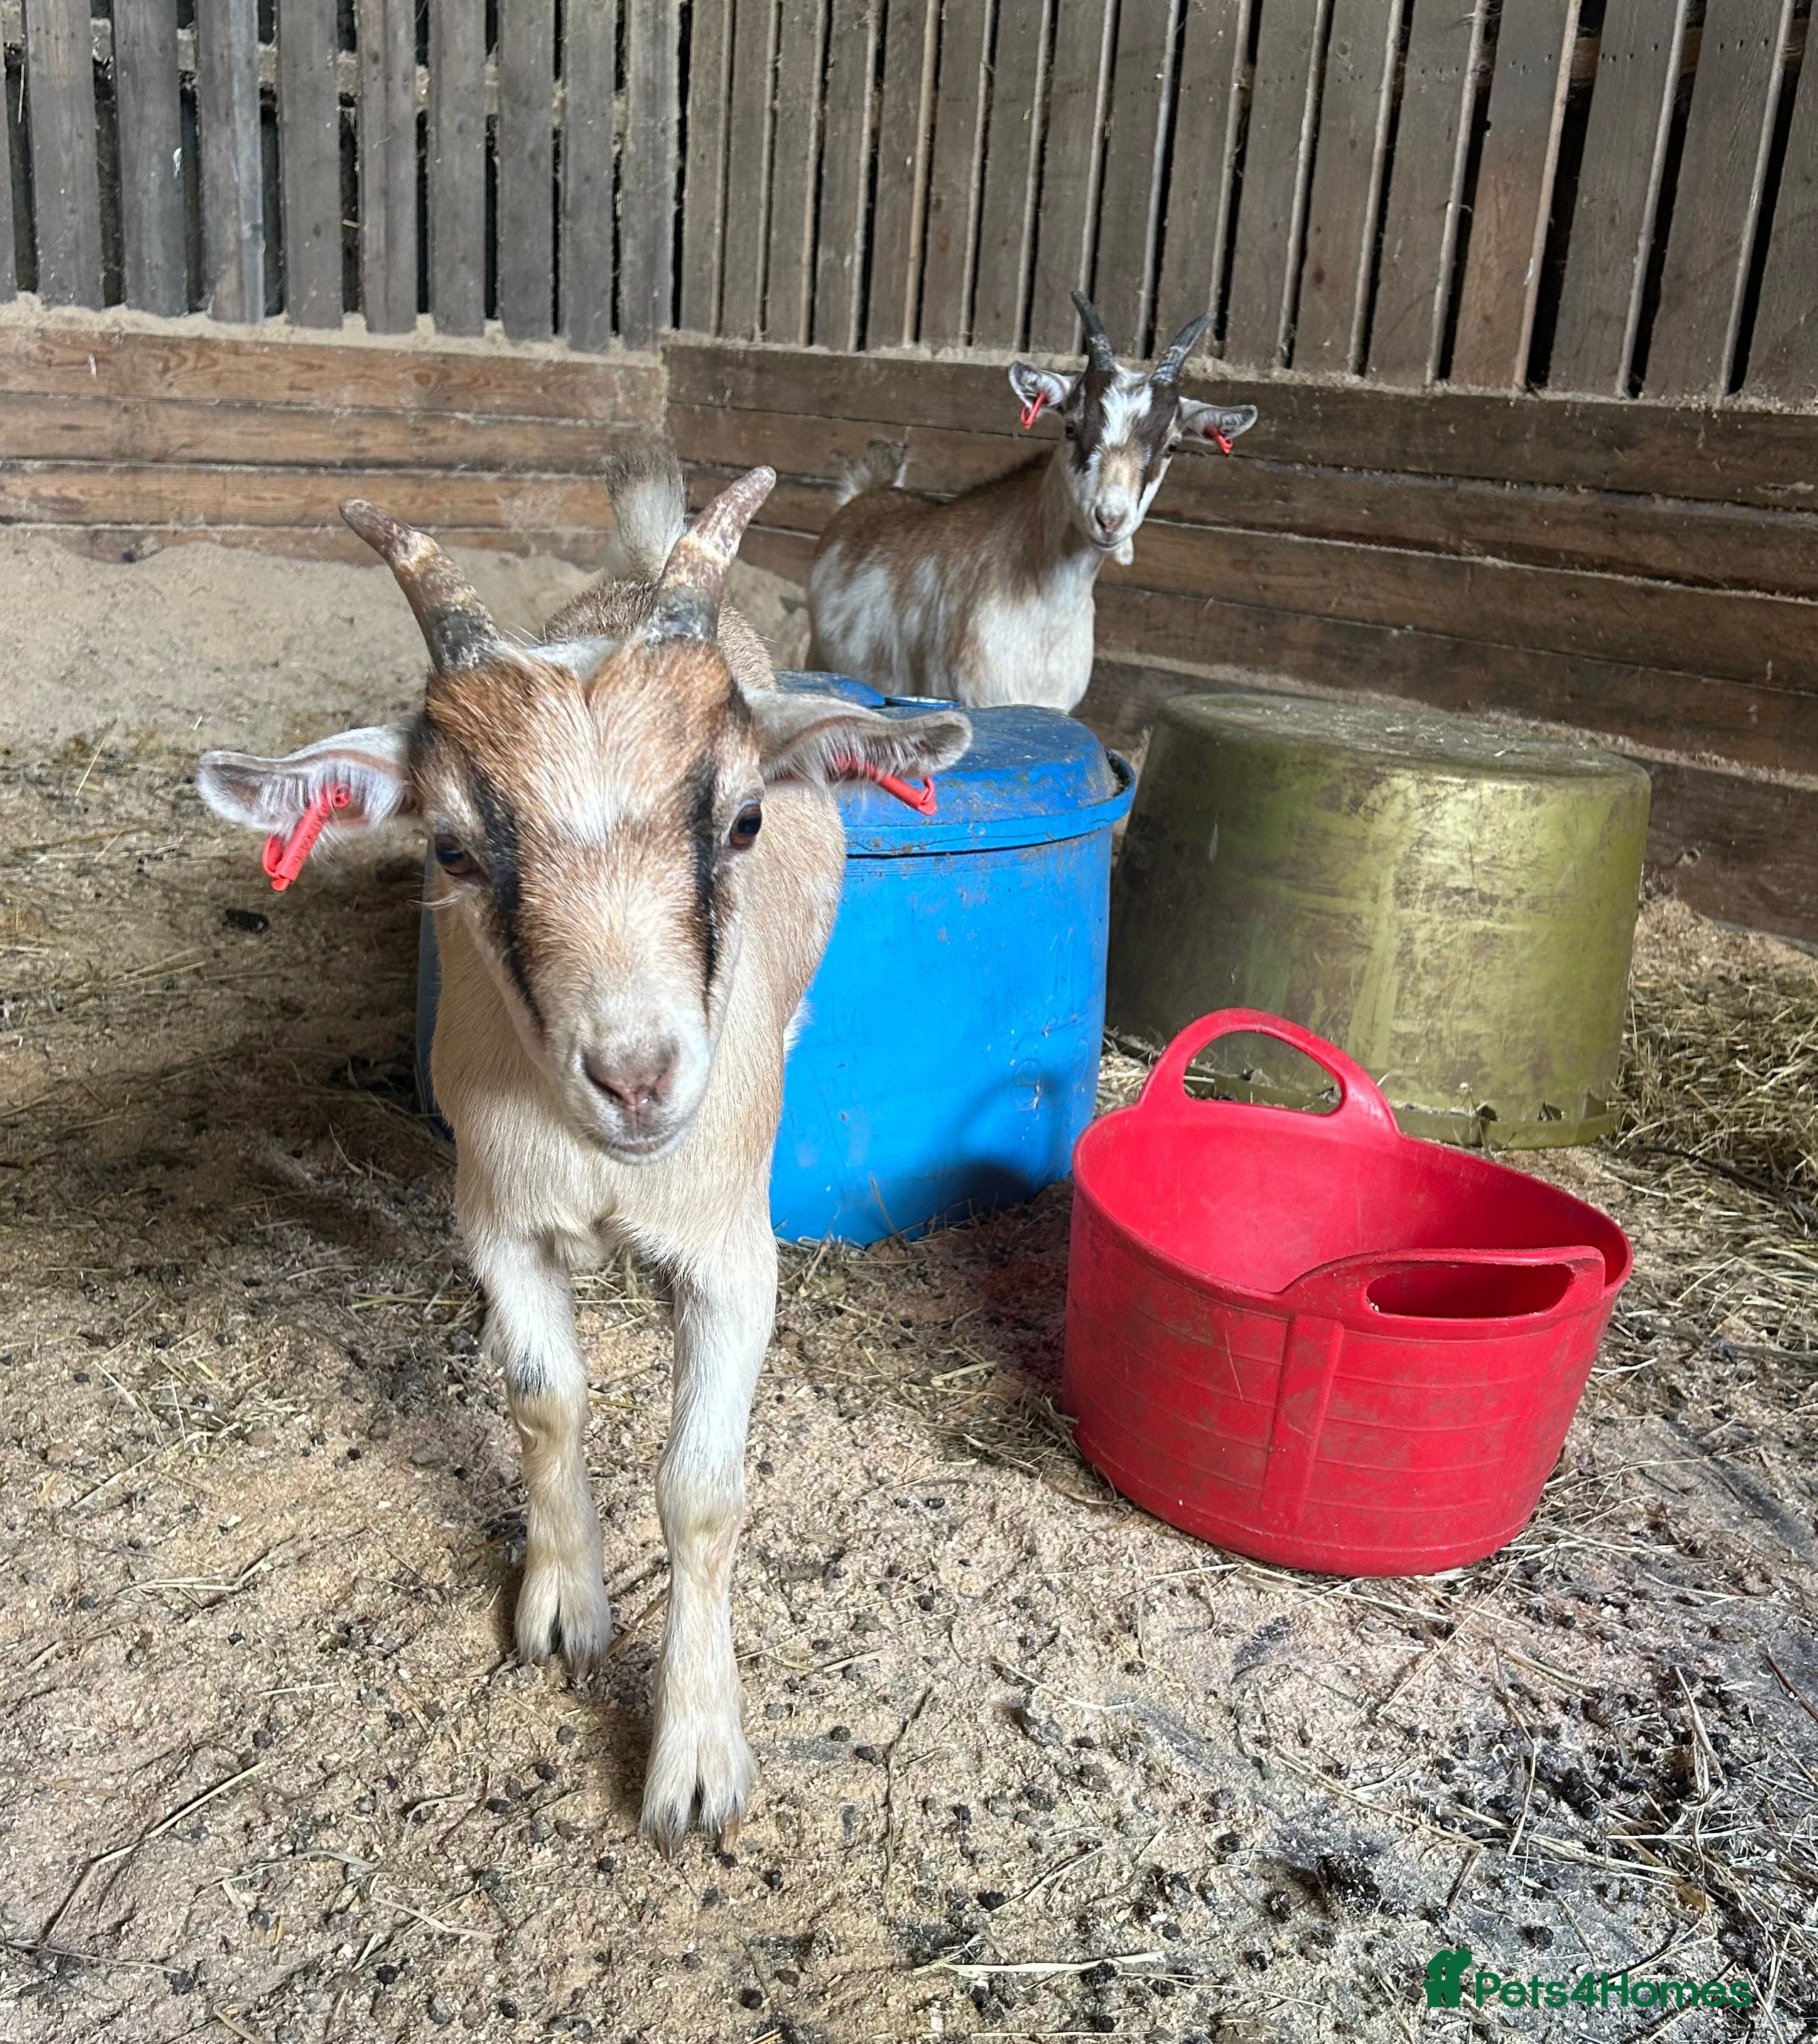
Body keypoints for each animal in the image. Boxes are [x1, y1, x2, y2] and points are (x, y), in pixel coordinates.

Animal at [194, 450, 971, 1851]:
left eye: (742, 821)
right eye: (452, 848)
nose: (637, 1076)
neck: (611, 1168)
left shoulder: (734, 1260)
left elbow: (701, 1488)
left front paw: (696, 1759)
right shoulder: (497, 1220)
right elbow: (543, 1397)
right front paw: (562, 1606)